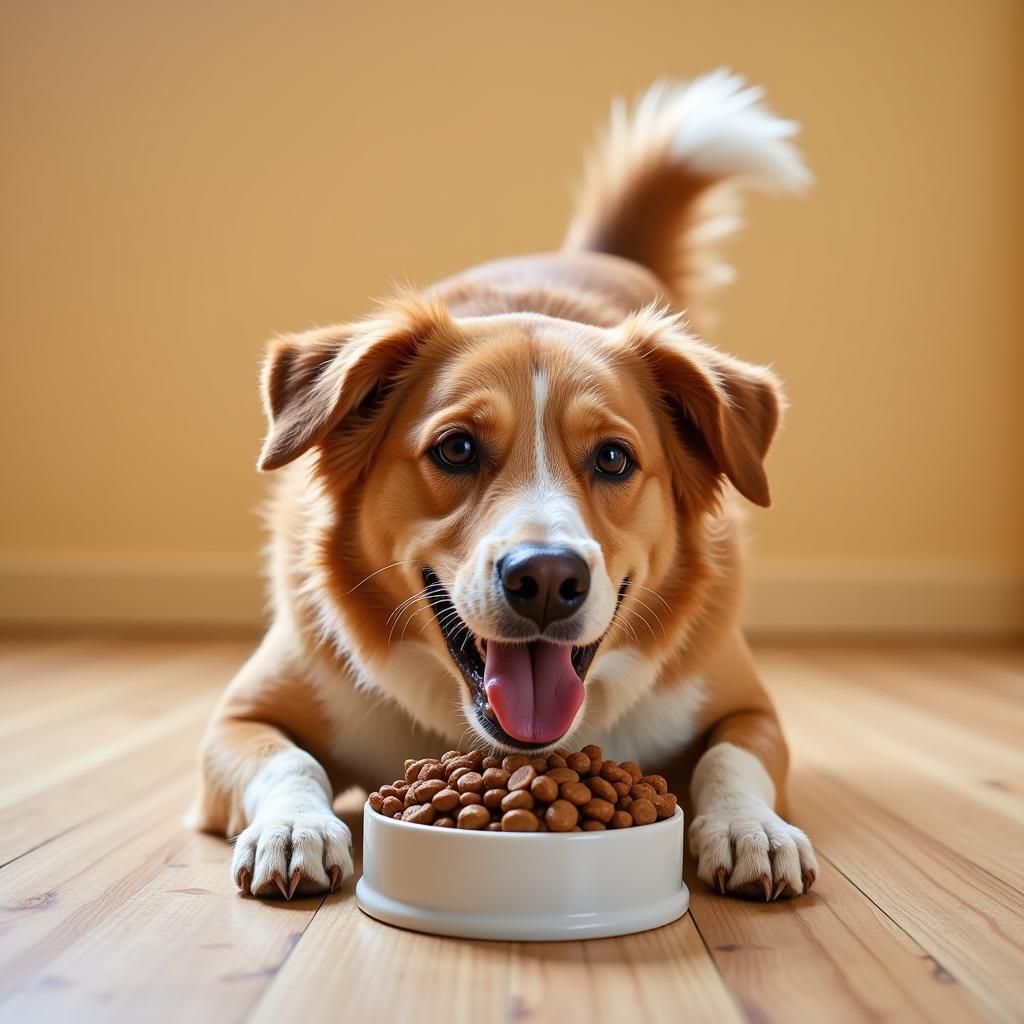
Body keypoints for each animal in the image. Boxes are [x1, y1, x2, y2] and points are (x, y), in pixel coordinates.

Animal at [190, 72, 815, 901]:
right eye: (456, 448)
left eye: (613, 459)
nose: (546, 579)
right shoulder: (240, 719)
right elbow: (286, 760)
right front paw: (295, 828)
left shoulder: (749, 709)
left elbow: (730, 759)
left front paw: (753, 829)